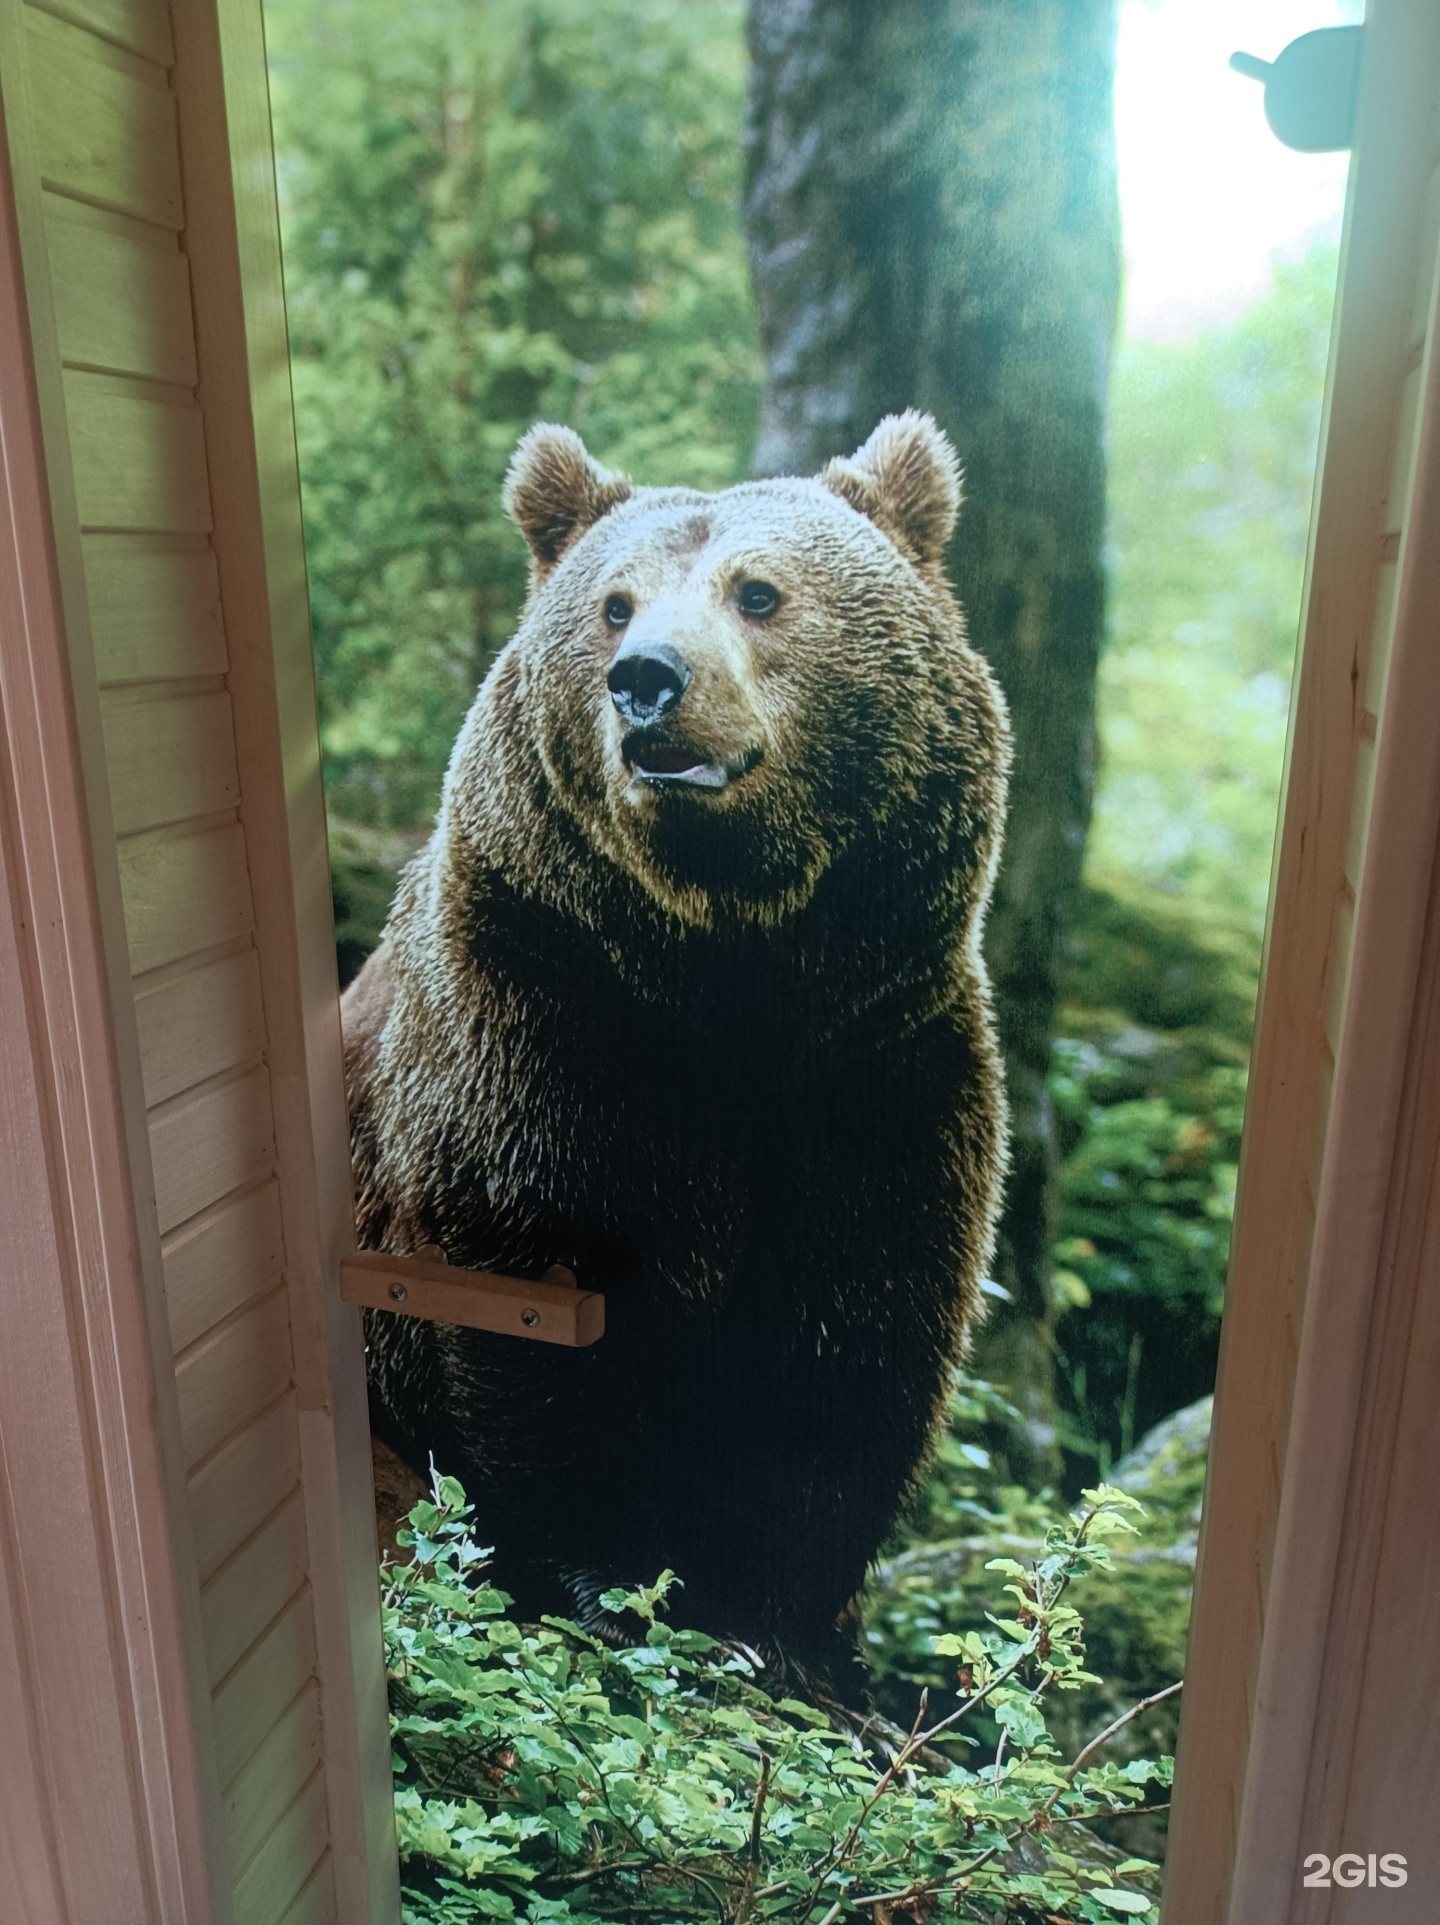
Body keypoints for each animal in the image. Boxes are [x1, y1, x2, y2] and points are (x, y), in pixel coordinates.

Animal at [343, 410, 1011, 1695]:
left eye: (759, 591)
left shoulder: (881, 1060)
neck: (727, 976)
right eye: (614, 603)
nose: (646, 678)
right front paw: (614, 1588)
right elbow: (538, 1307)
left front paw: (785, 1629)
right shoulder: (541, 1019)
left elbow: (854, 1340)